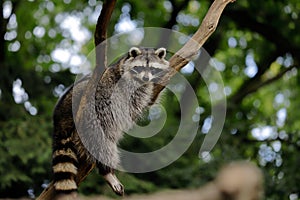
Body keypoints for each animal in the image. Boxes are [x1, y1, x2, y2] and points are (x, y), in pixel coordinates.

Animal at [51, 47, 169, 197]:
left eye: (153, 68)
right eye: (140, 67)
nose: (146, 78)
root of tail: (59, 118)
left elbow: (149, 100)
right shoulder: (125, 85)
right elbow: (137, 99)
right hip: (87, 111)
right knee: (101, 142)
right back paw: (106, 171)